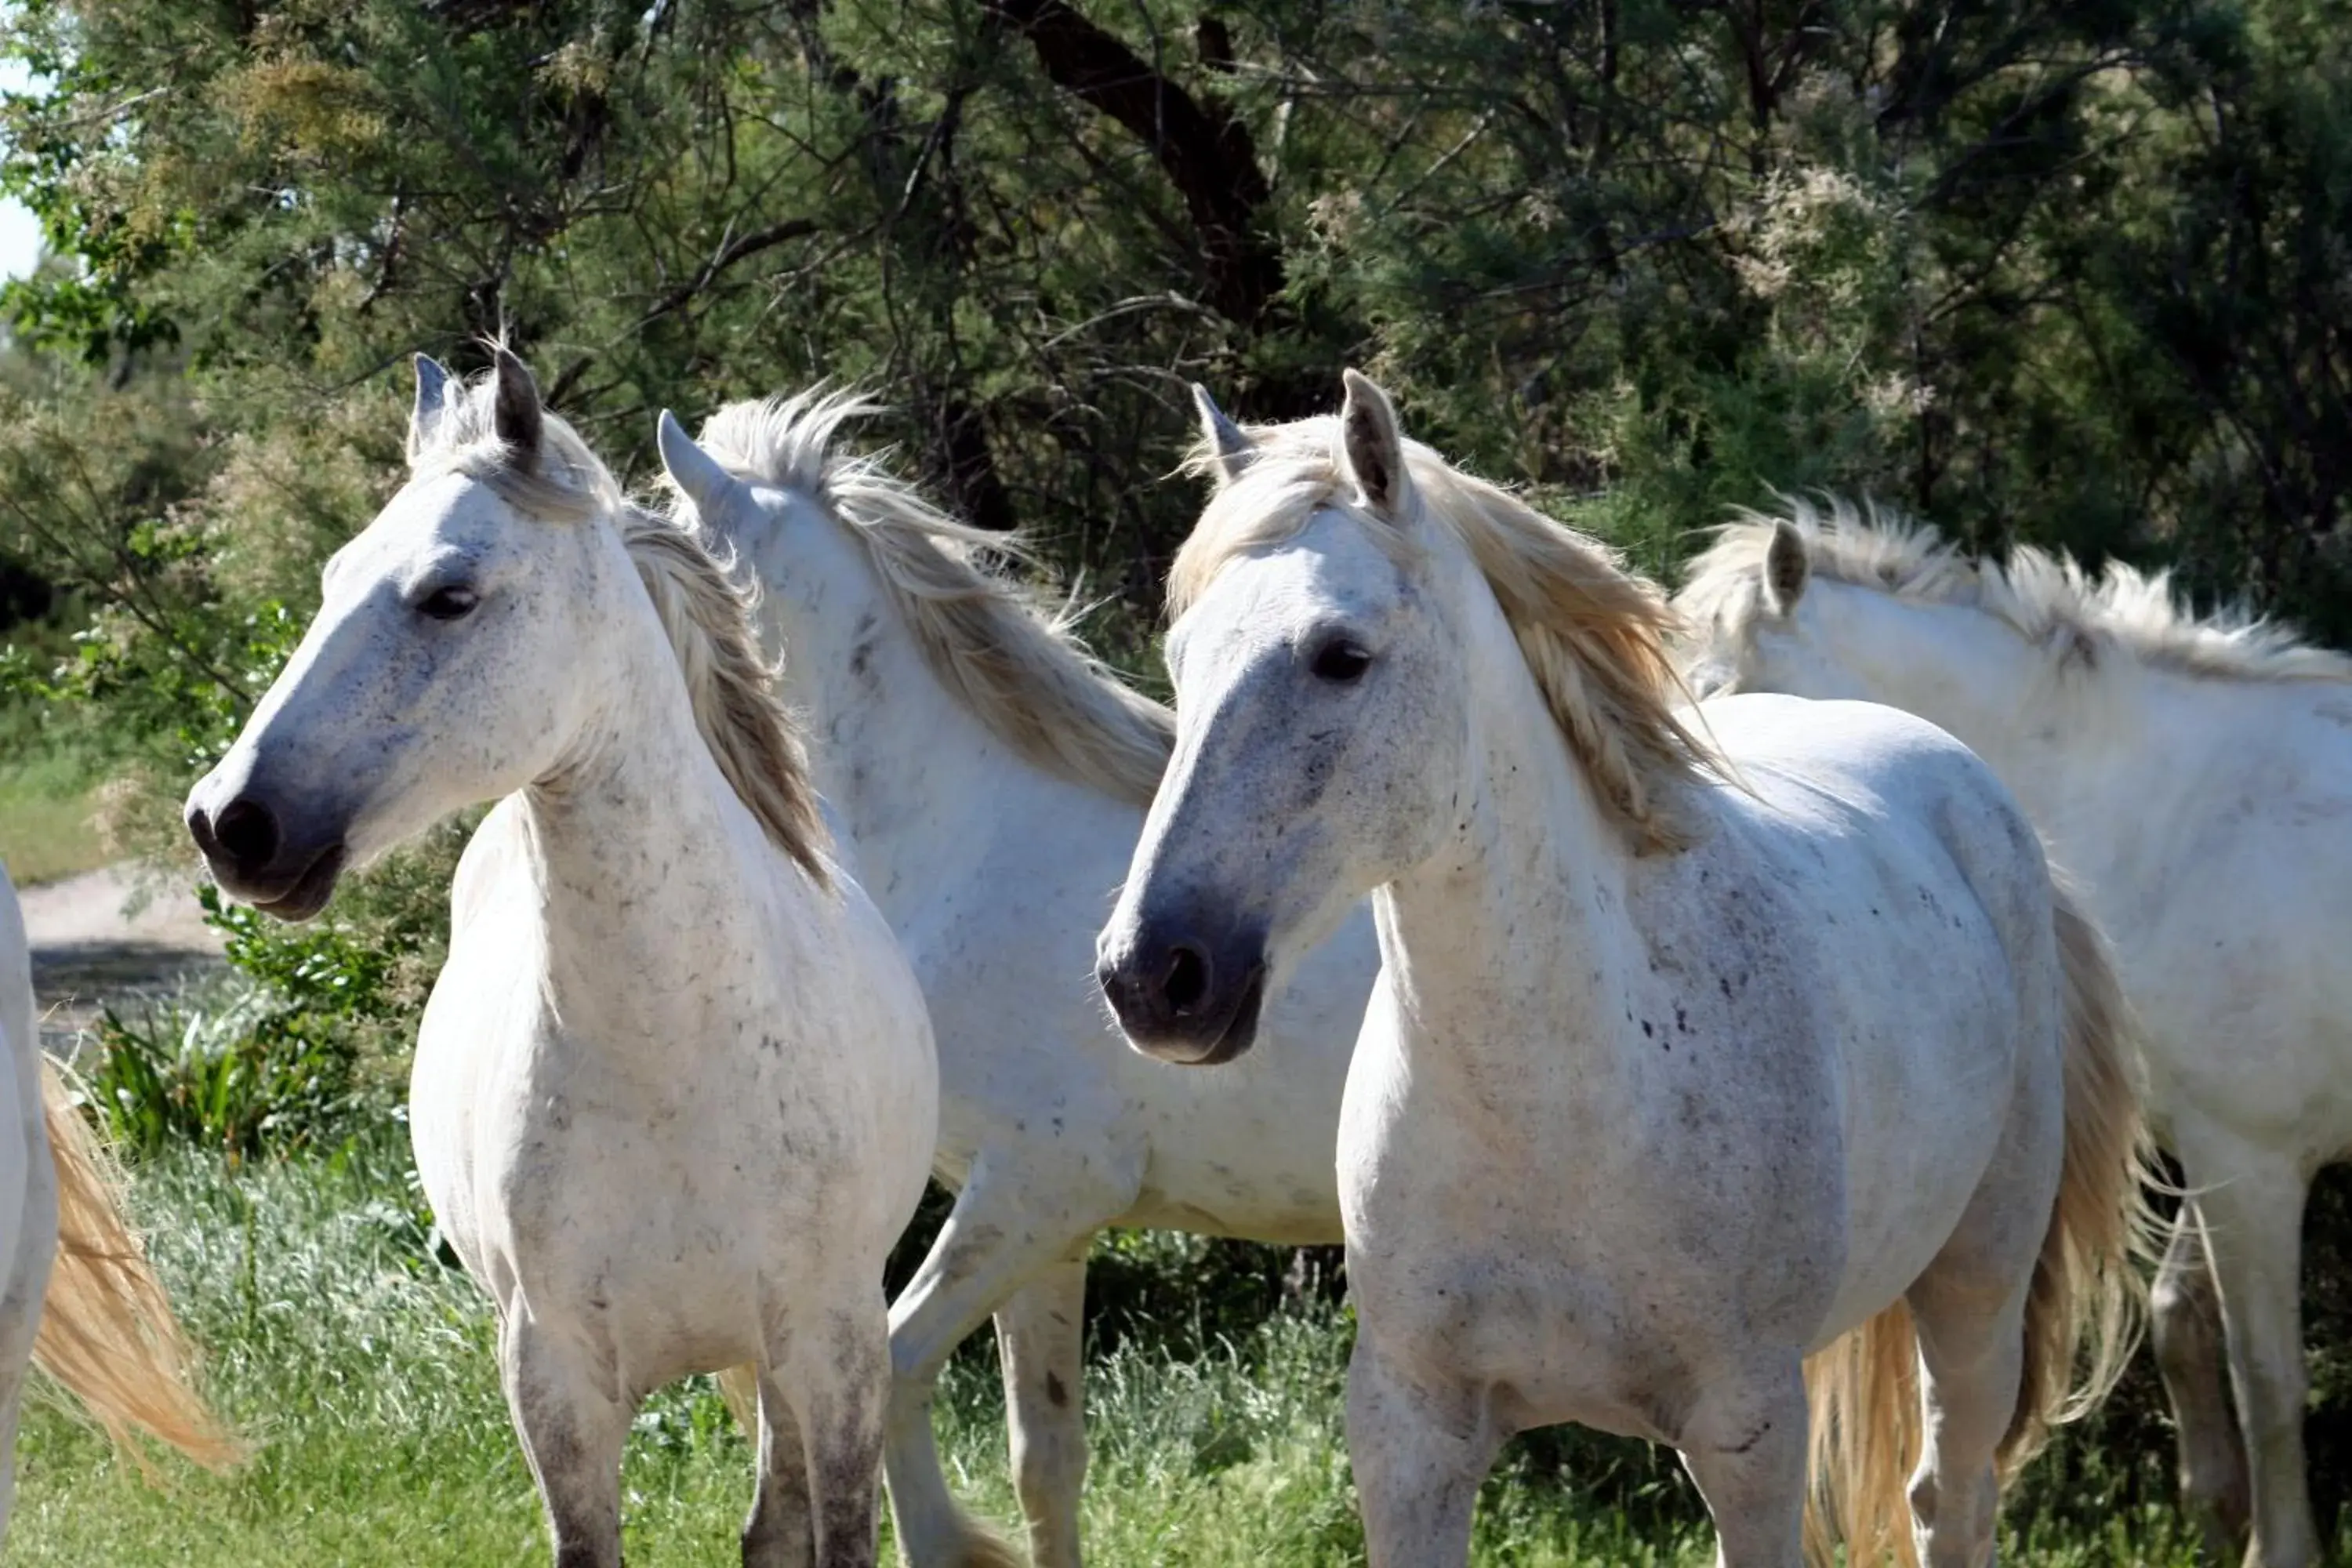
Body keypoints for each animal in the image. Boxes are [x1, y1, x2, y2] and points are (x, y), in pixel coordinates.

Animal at [186, 354, 936, 1568]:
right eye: (333, 577)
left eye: (448, 594)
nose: (228, 822)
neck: (677, 1061)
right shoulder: (559, 1390)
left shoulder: (836, 1352)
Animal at [1096, 376, 2154, 1568]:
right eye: (1182, 658)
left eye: (1340, 655)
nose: (1153, 975)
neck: (1568, 1093)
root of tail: (1982, 798)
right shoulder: (1410, 1436)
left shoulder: (1749, 1435)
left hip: (1976, 1292)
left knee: (1951, 1498)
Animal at [1684, 505, 2352, 1568]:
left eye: (1715, 690)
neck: (2184, 813)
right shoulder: (2216, 1154)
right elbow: (2182, 1321)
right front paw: (2218, 1508)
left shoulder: (2256, 1160)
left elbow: (2269, 1377)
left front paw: (2277, 1545)